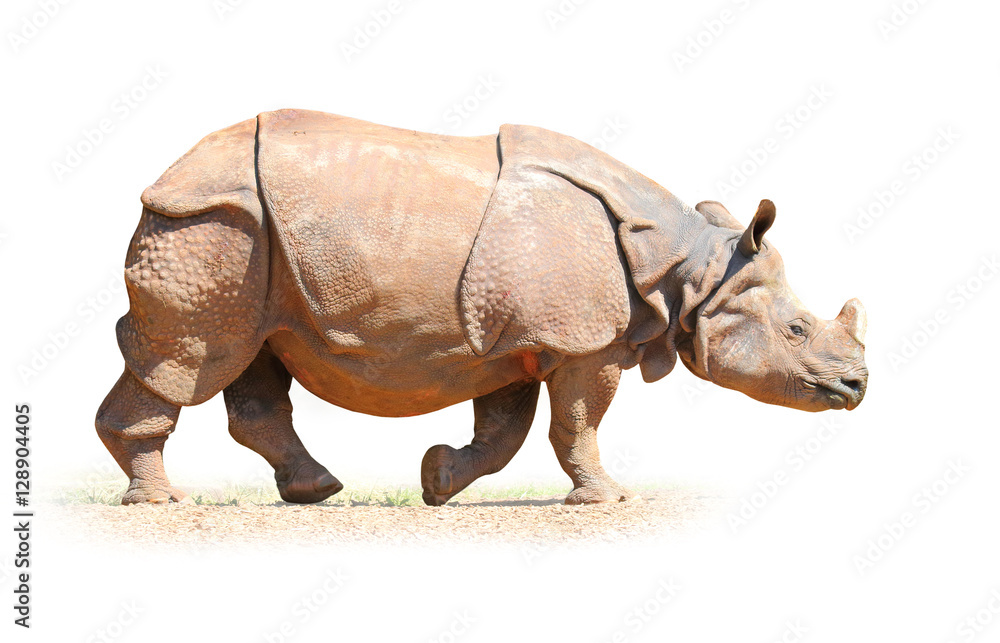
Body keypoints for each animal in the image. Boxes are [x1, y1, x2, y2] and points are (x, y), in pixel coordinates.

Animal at [96, 109, 868, 506]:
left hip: (250, 238)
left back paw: (314, 490)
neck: (688, 268)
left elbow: (508, 431)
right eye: (797, 329)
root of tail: (165, 178)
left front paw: (438, 481)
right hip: (213, 225)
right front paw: (607, 500)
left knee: (254, 354)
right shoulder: (584, 338)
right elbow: (577, 422)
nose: (857, 386)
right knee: (196, 354)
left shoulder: (524, 337)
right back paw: (163, 503)